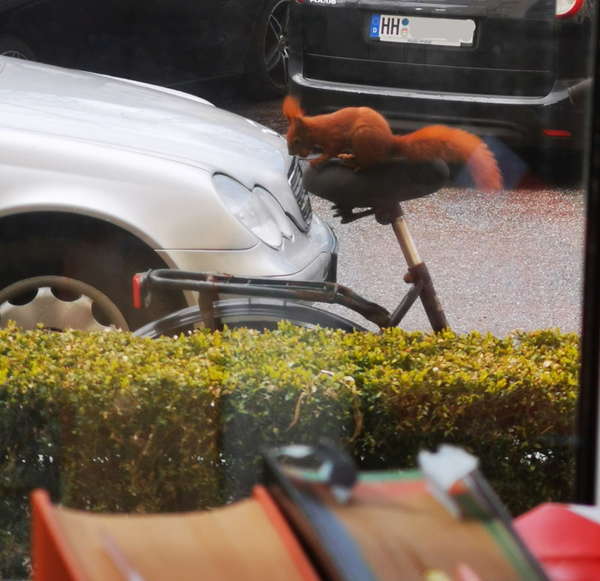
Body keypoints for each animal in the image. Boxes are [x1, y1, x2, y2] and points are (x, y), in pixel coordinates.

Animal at [282, 95, 502, 190]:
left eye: (296, 140)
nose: (291, 153)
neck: (318, 128)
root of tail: (390, 143)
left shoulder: (335, 137)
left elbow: (331, 151)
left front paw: (317, 161)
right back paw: (350, 156)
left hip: (362, 137)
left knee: (371, 163)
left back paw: (355, 164)